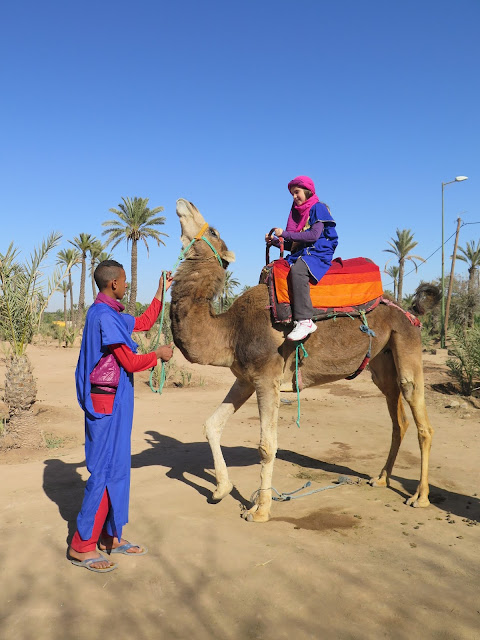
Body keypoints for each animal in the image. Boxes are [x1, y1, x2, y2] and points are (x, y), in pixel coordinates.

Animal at [170, 198, 436, 522]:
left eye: (214, 231)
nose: (184, 202)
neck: (229, 330)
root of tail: (409, 310)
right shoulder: (245, 379)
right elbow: (212, 425)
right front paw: (221, 489)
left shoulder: (266, 377)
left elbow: (267, 445)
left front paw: (260, 510)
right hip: (381, 360)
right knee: (398, 418)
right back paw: (382, 478)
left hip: (407, 341)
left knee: (420, 416)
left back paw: (420, 497)